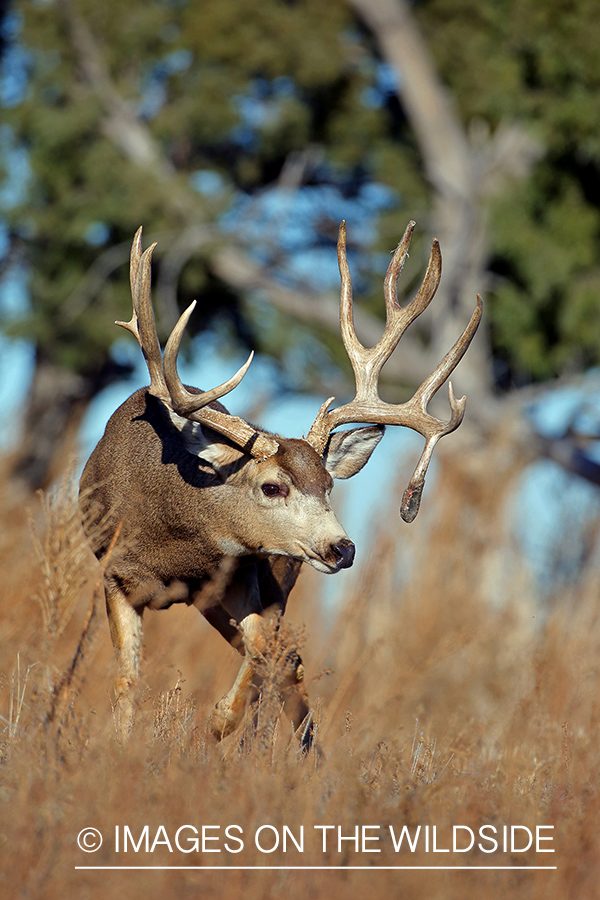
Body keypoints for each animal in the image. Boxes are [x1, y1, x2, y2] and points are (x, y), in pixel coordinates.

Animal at [80, 221, 482, 746]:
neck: (173, 547)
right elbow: (126, 681)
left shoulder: (242, 576)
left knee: (287, 662)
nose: (343, 549)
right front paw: (121, 746)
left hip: (273, 580)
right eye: (272, 487)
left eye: (329, 485)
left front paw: (215, 727)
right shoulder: (115, 575)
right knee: (287, 664)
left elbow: (261, 662)